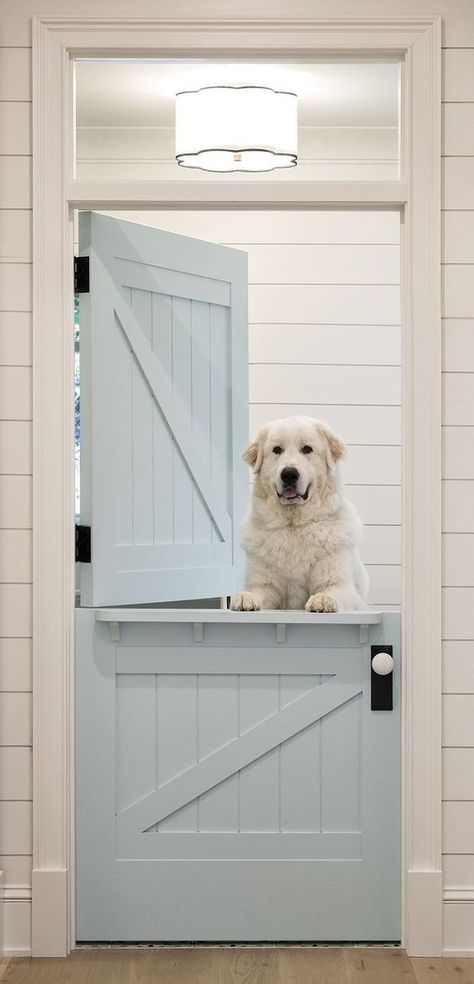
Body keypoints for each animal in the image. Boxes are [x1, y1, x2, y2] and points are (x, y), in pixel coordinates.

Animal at [231, 418, 368, 616]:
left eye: (307, 449)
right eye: (277, 450)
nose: (289, 474)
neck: (294, 527)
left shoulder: (339, 584)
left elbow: (331, 591)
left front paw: (323, 600)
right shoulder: (266, 585)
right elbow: (258, 591)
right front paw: (245, 597)